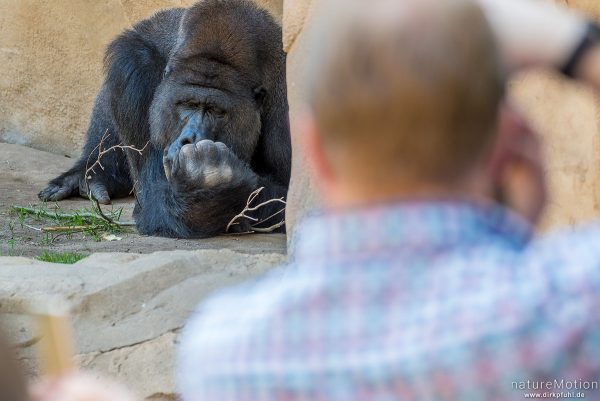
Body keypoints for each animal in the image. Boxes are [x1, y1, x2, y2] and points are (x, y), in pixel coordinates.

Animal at [38, 0, 290, 238]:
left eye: (217, 110)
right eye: (188, 104)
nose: (192, 138)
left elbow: (285, 198)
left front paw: (211, 181)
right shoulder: (134, 68)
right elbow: (153, 196)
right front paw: (207, 183)